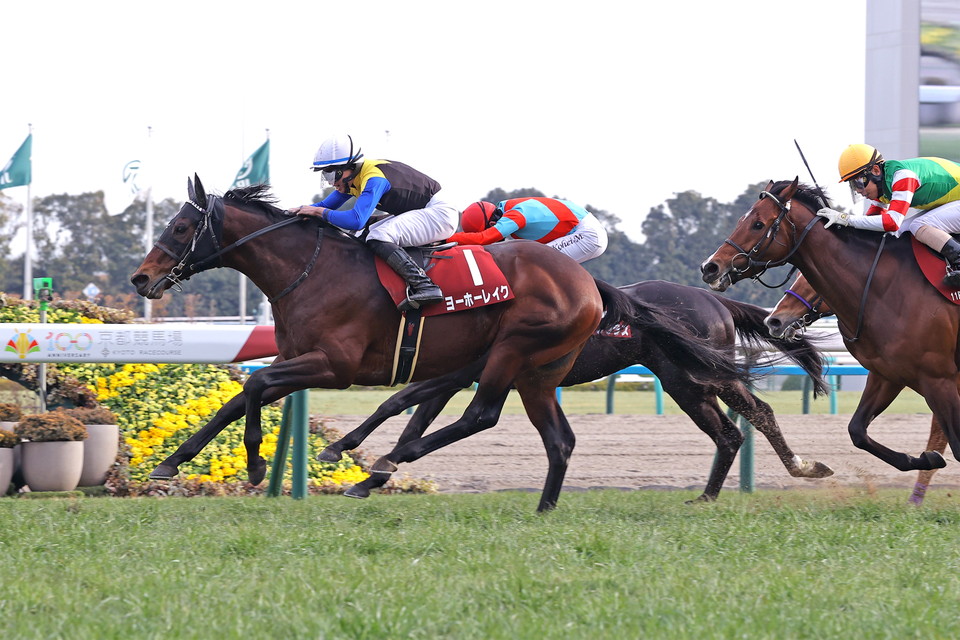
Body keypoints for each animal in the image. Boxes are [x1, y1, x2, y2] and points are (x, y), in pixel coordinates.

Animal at [130, 176, 736, 511]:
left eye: (181, 227)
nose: (141, 278)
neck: (311, 269)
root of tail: (589, 284)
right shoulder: (296, 357)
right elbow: (238, 398)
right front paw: (171, 463)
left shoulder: (334, 365)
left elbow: (256, 390)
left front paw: (259, 464)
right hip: (539, 372)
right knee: (558, 440)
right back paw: (541, 506)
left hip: (516, 352)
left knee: (482, 415)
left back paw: (388, 463)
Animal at [321, 280, 834, 503]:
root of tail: (713, 297)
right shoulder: (462, 374)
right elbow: (408, 413)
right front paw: (368, 476)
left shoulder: (472, 370)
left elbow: (403, 405)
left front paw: (354, 460)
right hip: (685, 382)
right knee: (730, 432)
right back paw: (707, 496)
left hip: (700, 375)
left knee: (757, 413)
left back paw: (799, 467)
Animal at [700, 177, 955, 475]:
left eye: (758, 224)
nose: (710, 267)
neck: (887, 288)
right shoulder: (889, 373)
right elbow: (857, 430)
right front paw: (926, 458)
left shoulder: (941, 379)